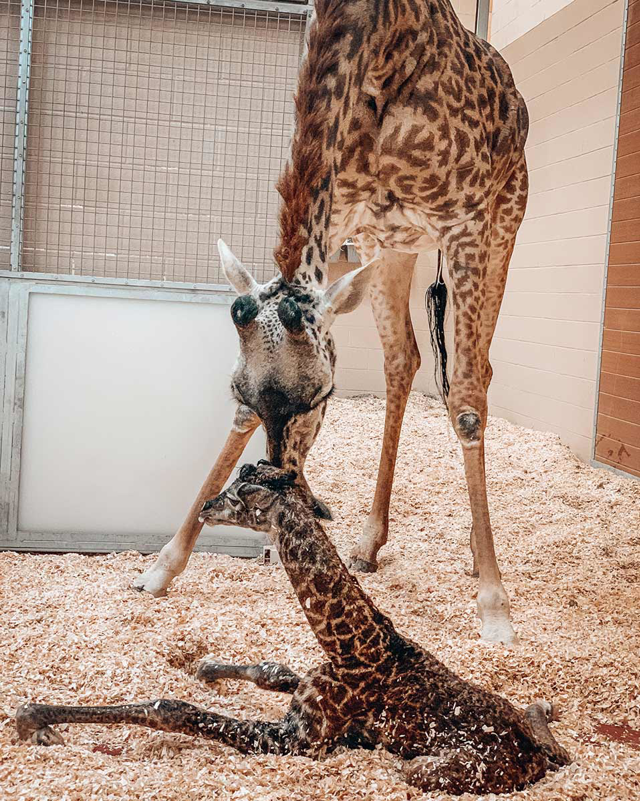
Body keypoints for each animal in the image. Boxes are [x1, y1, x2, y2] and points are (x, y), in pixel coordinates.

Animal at [18, 463, 569, 796]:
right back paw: (543, 707)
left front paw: (34, 716)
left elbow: (171, 708)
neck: (354, 645)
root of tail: (533, 756)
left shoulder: (296, 741)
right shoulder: (301, 692)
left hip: (425, 766)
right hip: (533, 733)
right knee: (546, 727)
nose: (205, 505)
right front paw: (207, 666)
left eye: (238, 495)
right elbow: (271, 668)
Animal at [133, 0, 530, 647]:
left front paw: (495, 606)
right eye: (236, 391)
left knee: (479, 374)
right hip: (392, 246)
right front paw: (163, 565)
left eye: (323, 396)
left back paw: (476, 556)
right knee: (404, 358)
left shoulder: (465, 219)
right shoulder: (344, 214)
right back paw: (368, 542)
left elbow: (466, 399)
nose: (276, 492)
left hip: (507, 218)